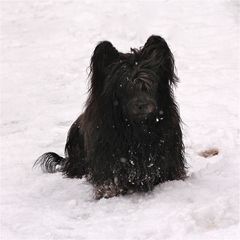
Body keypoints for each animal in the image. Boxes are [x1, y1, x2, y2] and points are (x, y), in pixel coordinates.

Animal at [35, 35, 186, 199]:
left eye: (148, 85)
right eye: (124, 87)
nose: (143, 105)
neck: (137, 127)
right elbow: (109, 178)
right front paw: (108, 191)